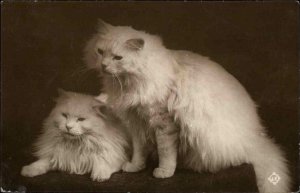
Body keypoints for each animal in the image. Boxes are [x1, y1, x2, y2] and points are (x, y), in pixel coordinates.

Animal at [84, 20, 290, 193]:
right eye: (100, 52)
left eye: (118, 58)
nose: (103, 65)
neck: (131, 82)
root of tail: (255, 139)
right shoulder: (136, 122)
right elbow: (138, 151)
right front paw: (135, 167)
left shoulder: (163, 123)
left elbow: (166, 153)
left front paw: (164, 172)